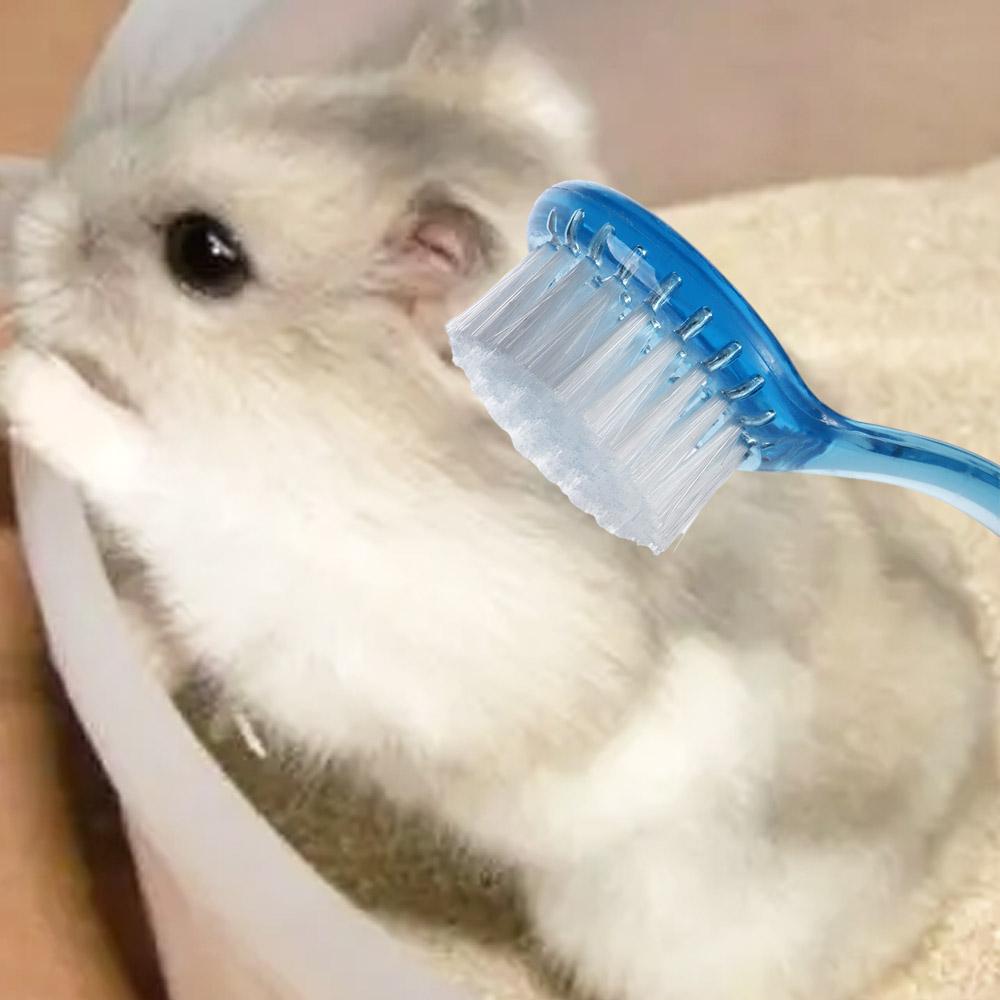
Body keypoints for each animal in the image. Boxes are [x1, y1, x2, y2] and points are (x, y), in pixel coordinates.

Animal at [1, 3, 994, 998]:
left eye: (203, 256)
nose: (26, 224)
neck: (348, 421)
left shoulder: (318, 589)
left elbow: (160, 480)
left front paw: (23, 378)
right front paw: (131, 649)